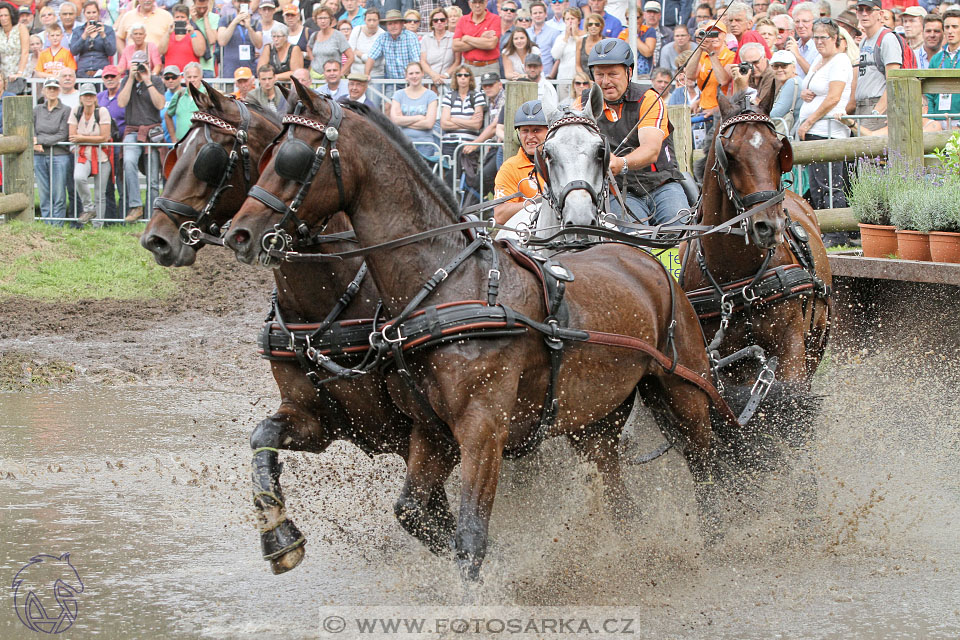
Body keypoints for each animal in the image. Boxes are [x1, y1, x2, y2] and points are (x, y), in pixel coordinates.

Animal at [140, 84, 462, 576]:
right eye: (174, 155)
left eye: (209, 159)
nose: (156, 238)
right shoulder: (315, 420)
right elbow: (261, 439)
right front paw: (279, 536)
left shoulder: (420, 430)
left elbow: (428, 508)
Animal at [223, 79, 736, 580]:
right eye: (267, 153)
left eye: (294, 158)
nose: (239, 233)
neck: (448, 285)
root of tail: (642, 257)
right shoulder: (431, 431)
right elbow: (413, 510)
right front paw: (281, 539)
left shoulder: (483, 429)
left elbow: (469, 539)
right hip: (594, 417)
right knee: (615, 481)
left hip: (684, 388)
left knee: (707, 465)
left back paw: (722, 543)